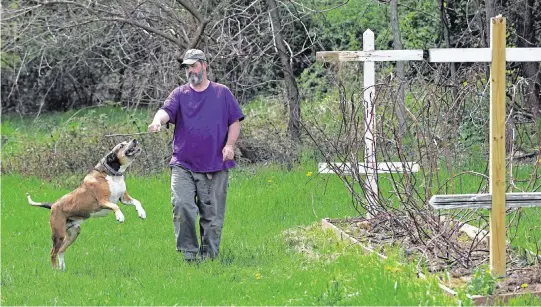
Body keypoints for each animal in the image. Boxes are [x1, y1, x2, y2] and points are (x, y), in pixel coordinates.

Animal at [27, 139, 146, 270]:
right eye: (121, 145)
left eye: (126, 141)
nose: (134, 140)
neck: (113, 175)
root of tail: (53, 205)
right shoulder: (103, 201)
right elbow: (116, 206)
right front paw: (120, 216)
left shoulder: (124, 198)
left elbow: (137, 202)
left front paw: (142, 213)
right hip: (58, 234)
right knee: (53, 252)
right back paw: (54, 270)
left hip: (73, 233)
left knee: (61, 250)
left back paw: (62, 269)